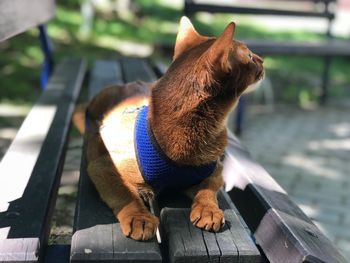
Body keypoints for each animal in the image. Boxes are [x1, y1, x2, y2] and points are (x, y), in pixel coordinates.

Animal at [75, 16, 264, 242]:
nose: (263, 60)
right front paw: (139, 217)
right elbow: (125, 193)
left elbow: (208, 190)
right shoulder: (102, 166)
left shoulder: (215, 171)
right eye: (250, 56)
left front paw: (208, 210)